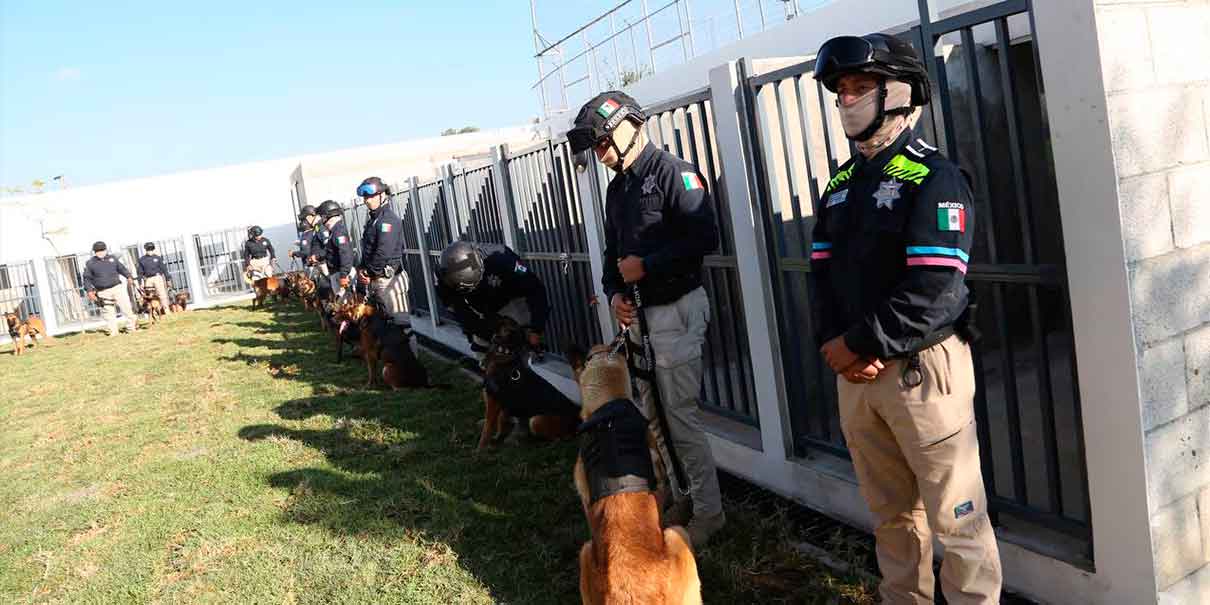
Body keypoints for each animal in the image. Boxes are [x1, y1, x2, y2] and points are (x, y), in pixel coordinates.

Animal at [476, 317, 580, 450]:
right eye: (505, 329)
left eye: (516, 334)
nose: (497, 338)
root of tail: (576, 420)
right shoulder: (502, 404)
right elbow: (500, 422)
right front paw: (497, 437)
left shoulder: (493, 403)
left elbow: (488, 428)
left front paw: (480, 449)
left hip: (536, 420)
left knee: (561, 438)